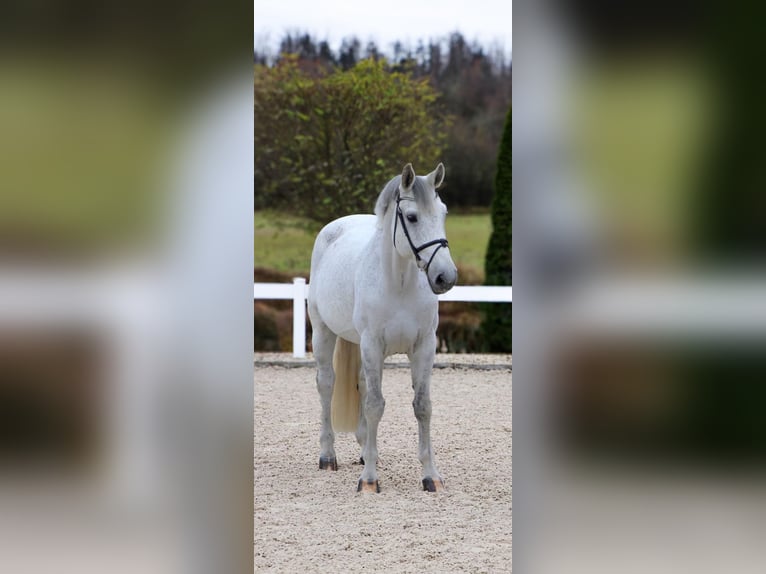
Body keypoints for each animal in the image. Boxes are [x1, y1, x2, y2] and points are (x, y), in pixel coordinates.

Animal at [307, 162, 458, 493]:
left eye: (443, 213)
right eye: (412, 217)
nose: (446, 277)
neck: (398, 284)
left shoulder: (424, 347)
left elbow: (422, 406)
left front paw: (431, 476)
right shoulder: (372, 345)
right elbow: (376, 405)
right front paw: (369, 481)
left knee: (361, 384)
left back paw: (365, 451)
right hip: (323, 333)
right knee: (326, 384)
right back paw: (328, 456)